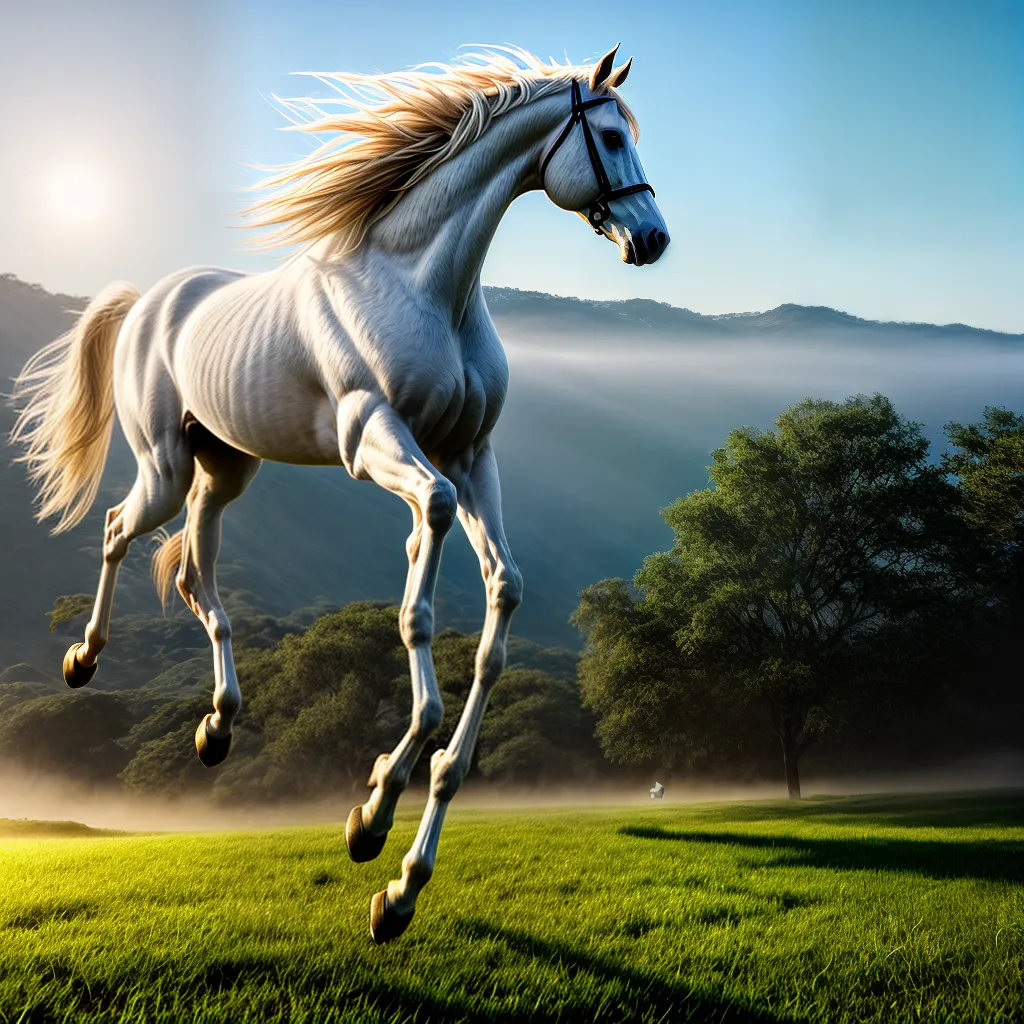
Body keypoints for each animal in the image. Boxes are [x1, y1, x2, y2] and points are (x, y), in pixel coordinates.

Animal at [11, 44, 669, 942]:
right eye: (608, 135)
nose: (653, 237)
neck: (423, 287)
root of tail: (149, 299)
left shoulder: (470, 457)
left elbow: (500, 598)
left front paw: (398, 879)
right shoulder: (376, 442)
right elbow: (420, 597)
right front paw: (376, 815)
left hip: (226, 468)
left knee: (195, 571)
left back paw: (218, 725)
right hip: (166, 468)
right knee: (118, 528)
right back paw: (83, 660)